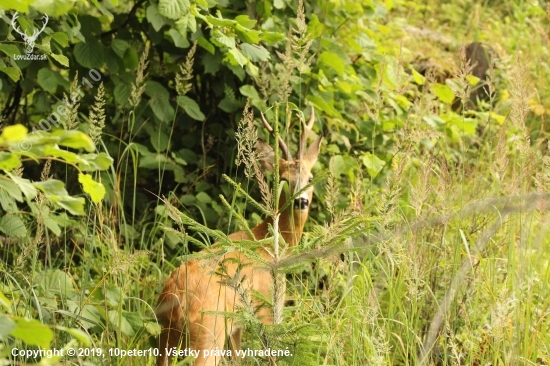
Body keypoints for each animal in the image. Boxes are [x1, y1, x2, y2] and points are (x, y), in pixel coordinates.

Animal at [155, 107, 324, 364]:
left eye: (310, 178)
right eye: (284, 179)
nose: (301, 201)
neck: (269, 243)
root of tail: (176, 301)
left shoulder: (238, 324)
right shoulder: (267, 309)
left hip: (167, 338)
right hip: (208, 334)